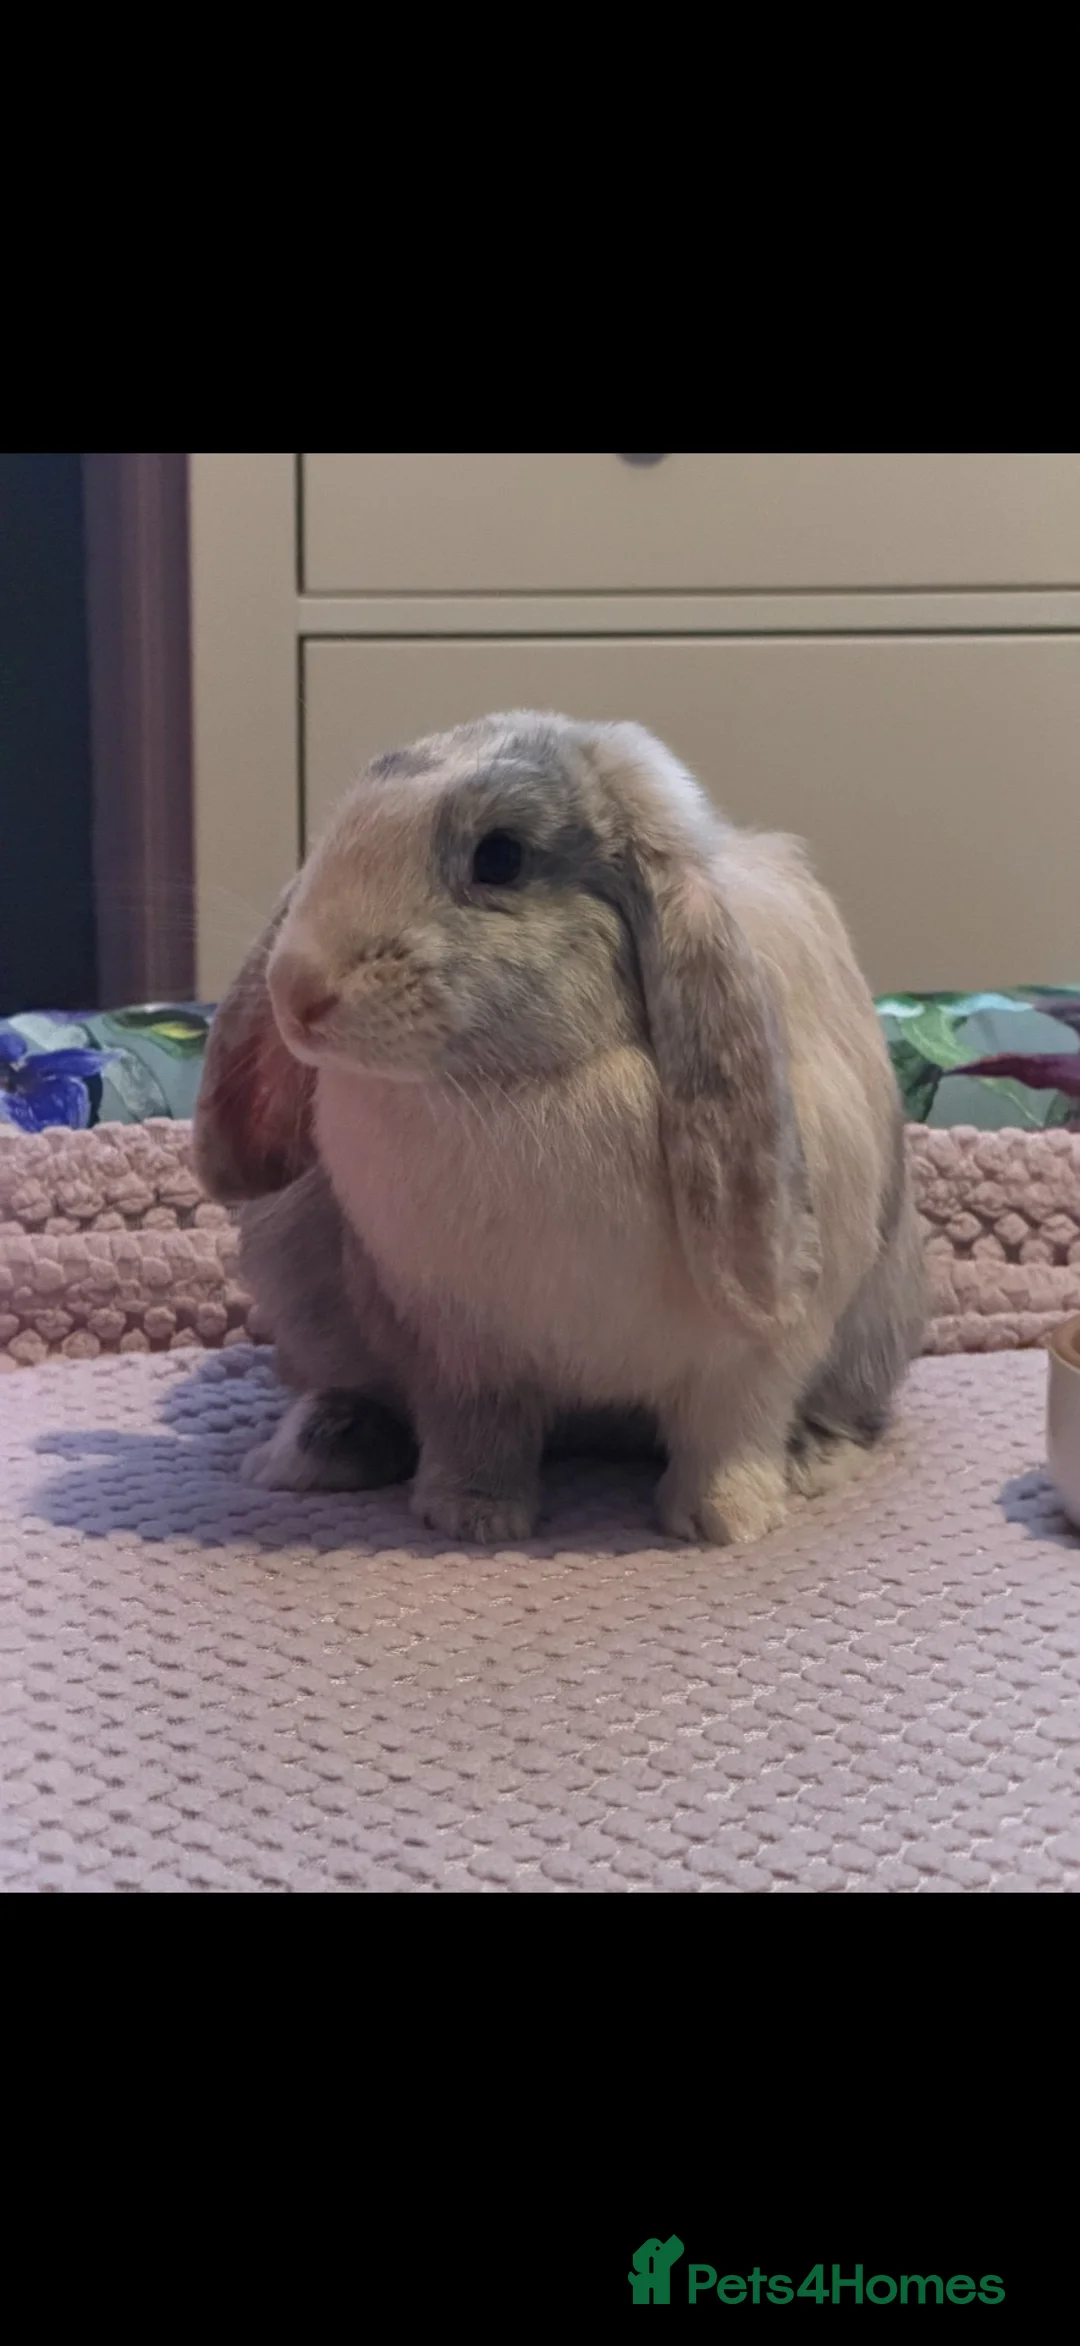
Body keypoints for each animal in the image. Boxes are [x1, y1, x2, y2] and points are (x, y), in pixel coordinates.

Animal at [194, 711, 925, 1546]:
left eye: (500, 857)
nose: (297, 992)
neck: (522, 1088)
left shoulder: (755, 1356)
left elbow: (730, 1431)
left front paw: (724, 1522)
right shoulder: (457, 1351)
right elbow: (476, 1431)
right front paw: (470, 1516)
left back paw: (809, 1459)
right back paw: (322, 1446)